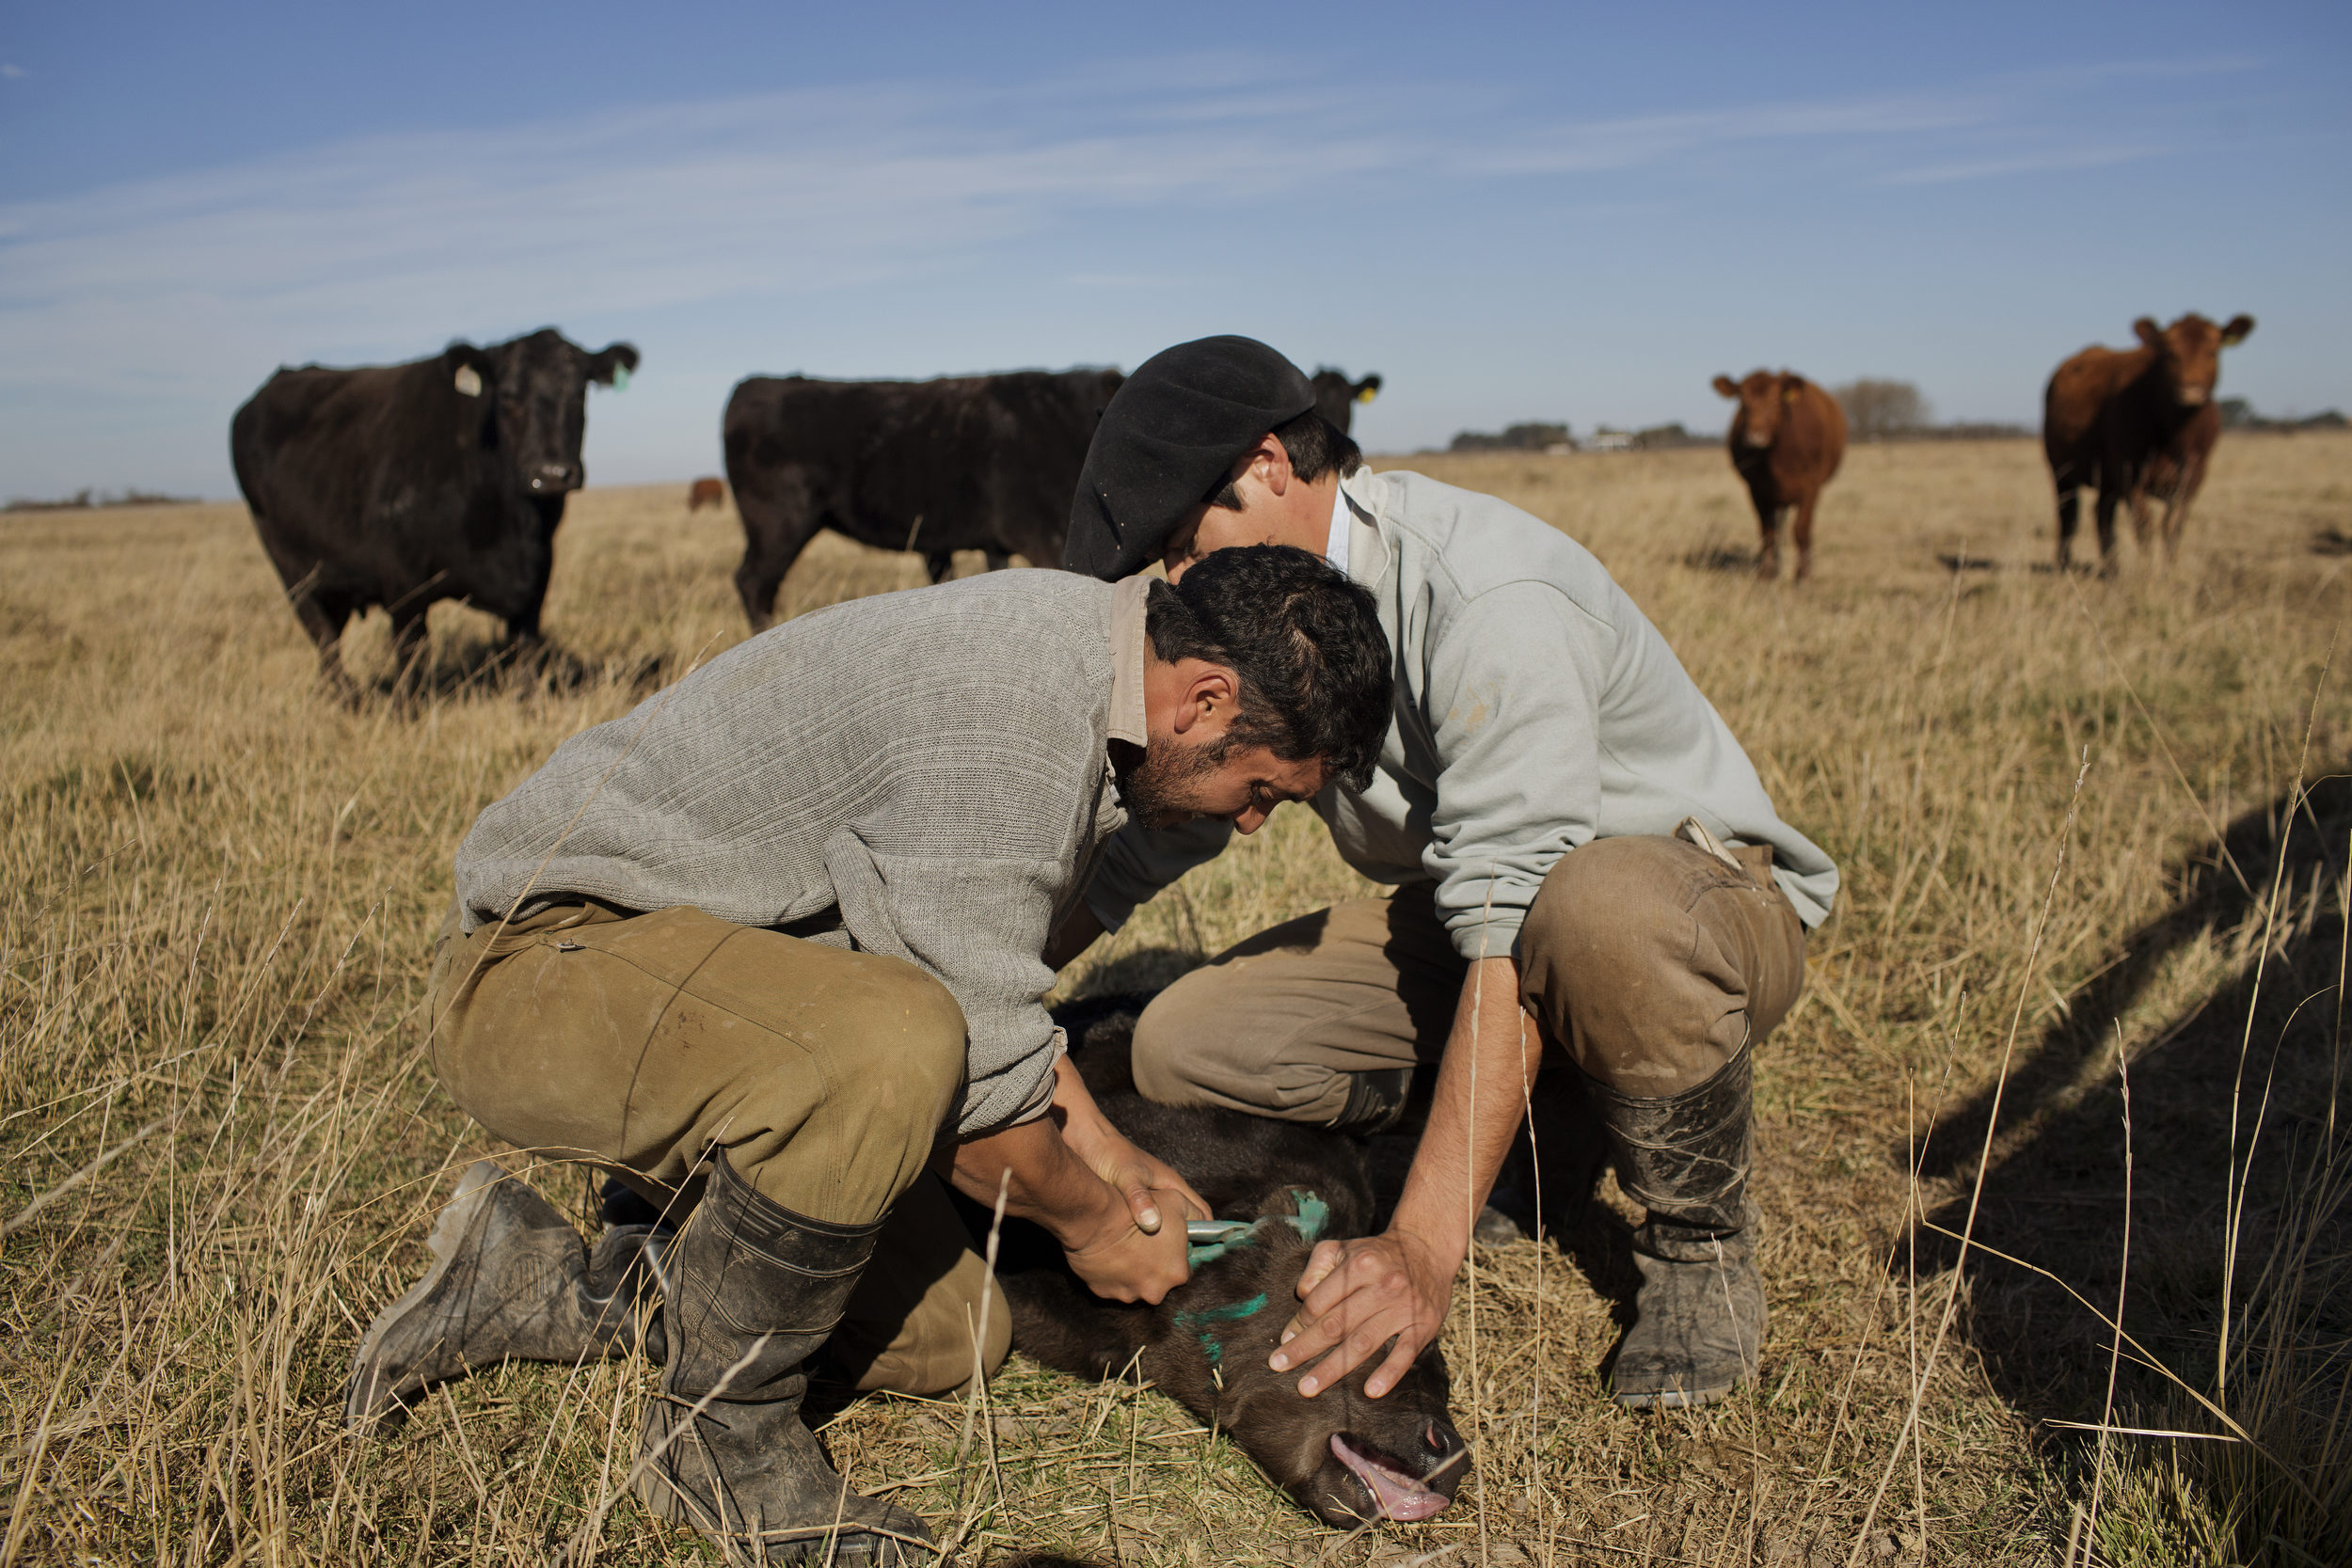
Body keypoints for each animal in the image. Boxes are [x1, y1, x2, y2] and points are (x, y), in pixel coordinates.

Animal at [230, 328, 640, 695]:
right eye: (508, 395)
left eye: (579, 392)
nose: (552, 474)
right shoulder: (402, 581)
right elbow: (411, 656)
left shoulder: (537, 576)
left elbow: (525, 656)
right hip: (293, 570)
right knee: (324, 636)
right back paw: (346, 699)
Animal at [1712, 369, 1853, 582]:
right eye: (1743, 400)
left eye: (1776, 400)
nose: (1755, 437)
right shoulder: (1756, 490)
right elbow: (1767, 531)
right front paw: (1767, 572)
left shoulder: (1811, 487)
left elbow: (1801, 529)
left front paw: (1802, 575)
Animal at [2051, 312, 2249, 571]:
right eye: (2171, 354)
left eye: (2211, 352)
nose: (2191, 392)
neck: (2175, 432)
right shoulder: (2129, 473)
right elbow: (2144, 525)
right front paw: (2146, 571)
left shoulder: (2193, 476)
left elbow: (2173, 525)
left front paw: (2167, 570)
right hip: (2062, 472)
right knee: (2069, 516)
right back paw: (2065, 564)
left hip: (2106, 480)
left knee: (2102, 515)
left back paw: (2111, 569)